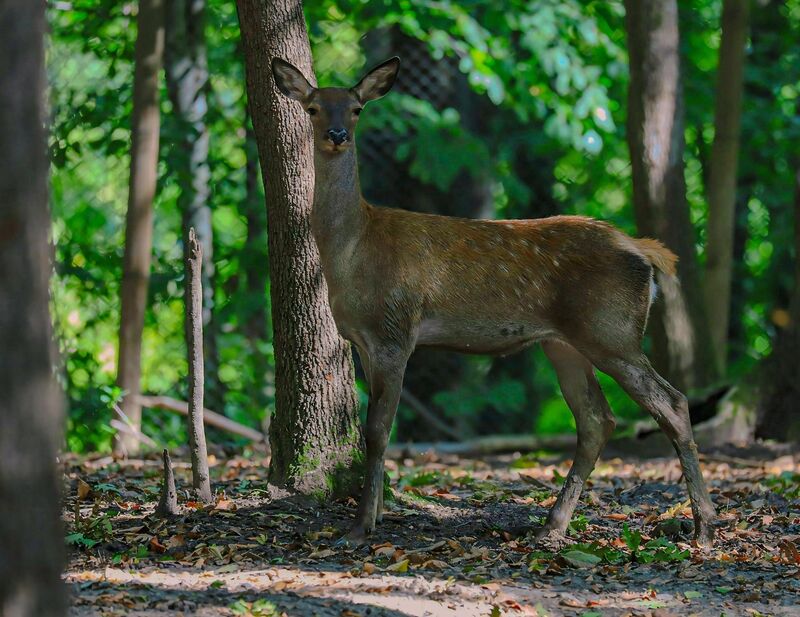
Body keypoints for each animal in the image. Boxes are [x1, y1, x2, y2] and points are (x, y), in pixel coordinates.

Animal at [272, 55, 716, 548]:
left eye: (355, 109)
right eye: (313, 108)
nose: (336, 134)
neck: (353, 250)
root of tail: (644, 252)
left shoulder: (395, 330)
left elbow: (378, 430)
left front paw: (360, 525)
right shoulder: (364, 341)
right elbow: (380, 429)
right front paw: (379, 513)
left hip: (612, 329)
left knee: (672, 403)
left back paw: (703, 528)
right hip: (564, 342)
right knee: (597, 419)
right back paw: (552, 524)